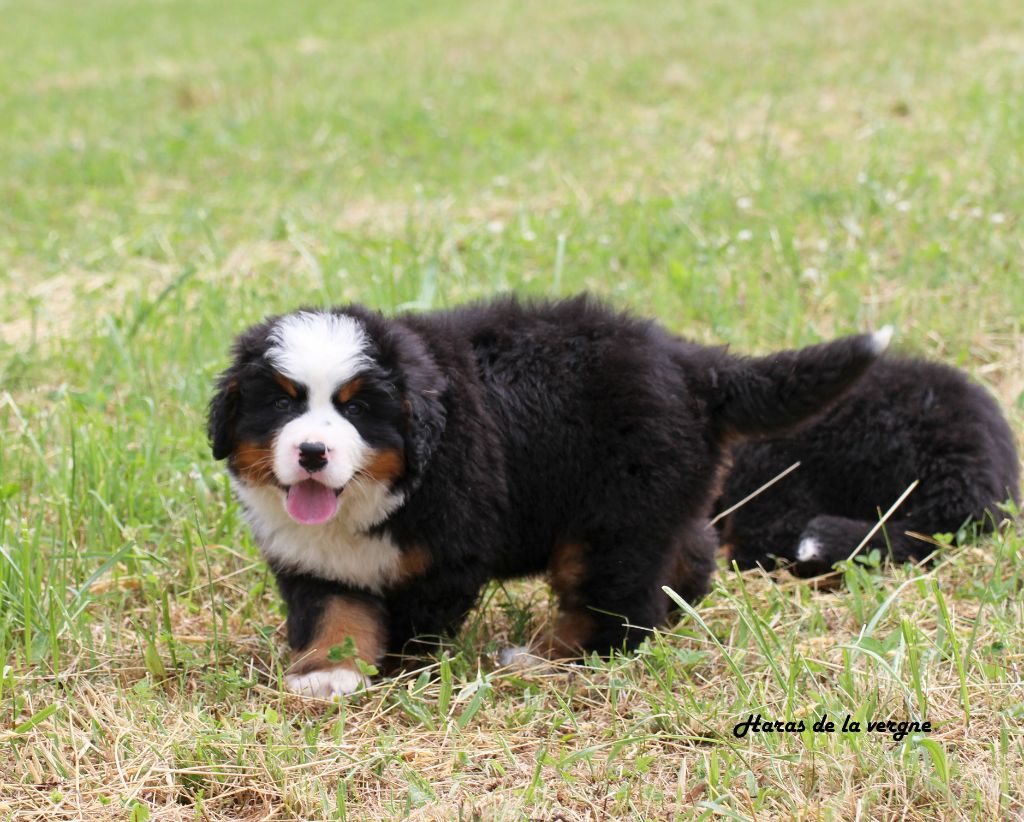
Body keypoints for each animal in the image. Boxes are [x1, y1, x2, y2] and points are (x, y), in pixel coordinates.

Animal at [207, 296, 889, 697]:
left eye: (357, 409)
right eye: (281, 404)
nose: (312, 452)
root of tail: (692, 363)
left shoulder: (448, 553)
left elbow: (411, 623)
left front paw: (397, 669)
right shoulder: (315, 558)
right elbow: (335, 612)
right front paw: (327, 672)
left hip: (610, 518)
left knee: (618, 608)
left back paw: (542, 661)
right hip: (657, 504)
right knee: (683, 556)